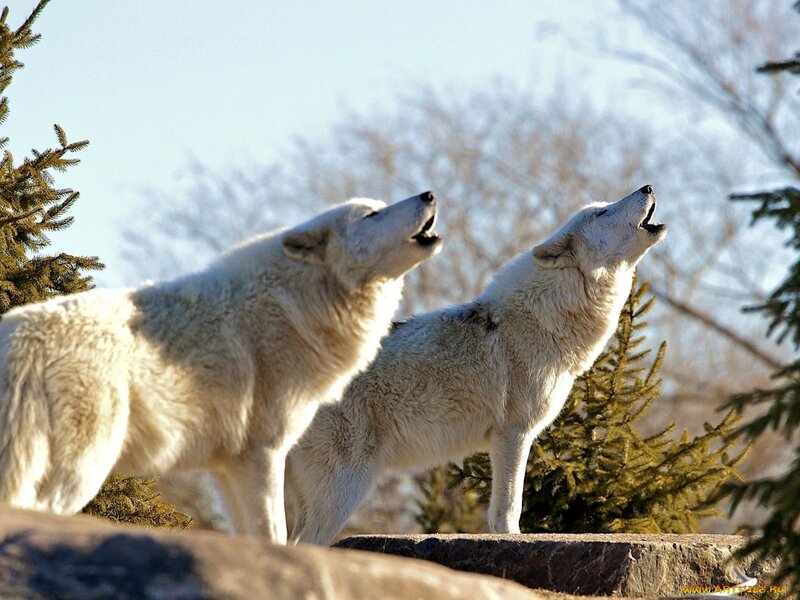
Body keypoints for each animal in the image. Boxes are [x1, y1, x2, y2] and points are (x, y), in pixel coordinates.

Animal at [0, 191, 442, 543]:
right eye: (372, 215)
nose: (429, 194)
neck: (293, 306)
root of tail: (20, 341)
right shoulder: (263, 454)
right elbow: (273, 535)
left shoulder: (227, 468)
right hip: (83, 469)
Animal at [286, 185, 666, 545]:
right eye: (602, 213)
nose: (648, 187)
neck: (543, 319)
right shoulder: (513, 434)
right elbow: (509, 508)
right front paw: (513, 540)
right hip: (344, 489)